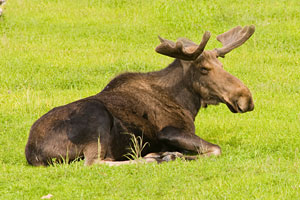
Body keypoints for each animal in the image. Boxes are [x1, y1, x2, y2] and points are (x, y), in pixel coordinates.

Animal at [26, 25, 255, 166]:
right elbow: (215, 150)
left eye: (222, 65)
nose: (246, 98)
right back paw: (156, 158)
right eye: (204, 69)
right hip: (97, 118)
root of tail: (32, 152)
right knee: (95, 162)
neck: (187, 104)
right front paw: (172, 155)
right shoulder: (168, 131)